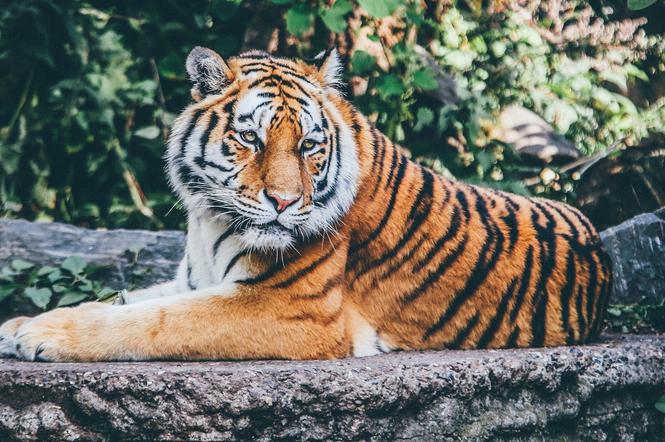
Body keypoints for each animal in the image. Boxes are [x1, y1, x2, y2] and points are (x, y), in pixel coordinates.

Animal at [0, 46, 612, 360]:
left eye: (309, 146)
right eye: (250, 138)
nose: (284, 201)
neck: (208, 219)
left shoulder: (290, 309)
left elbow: (153, 321)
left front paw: (42, 335)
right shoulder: (192, 279)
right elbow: (122, 300)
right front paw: (19, 323)